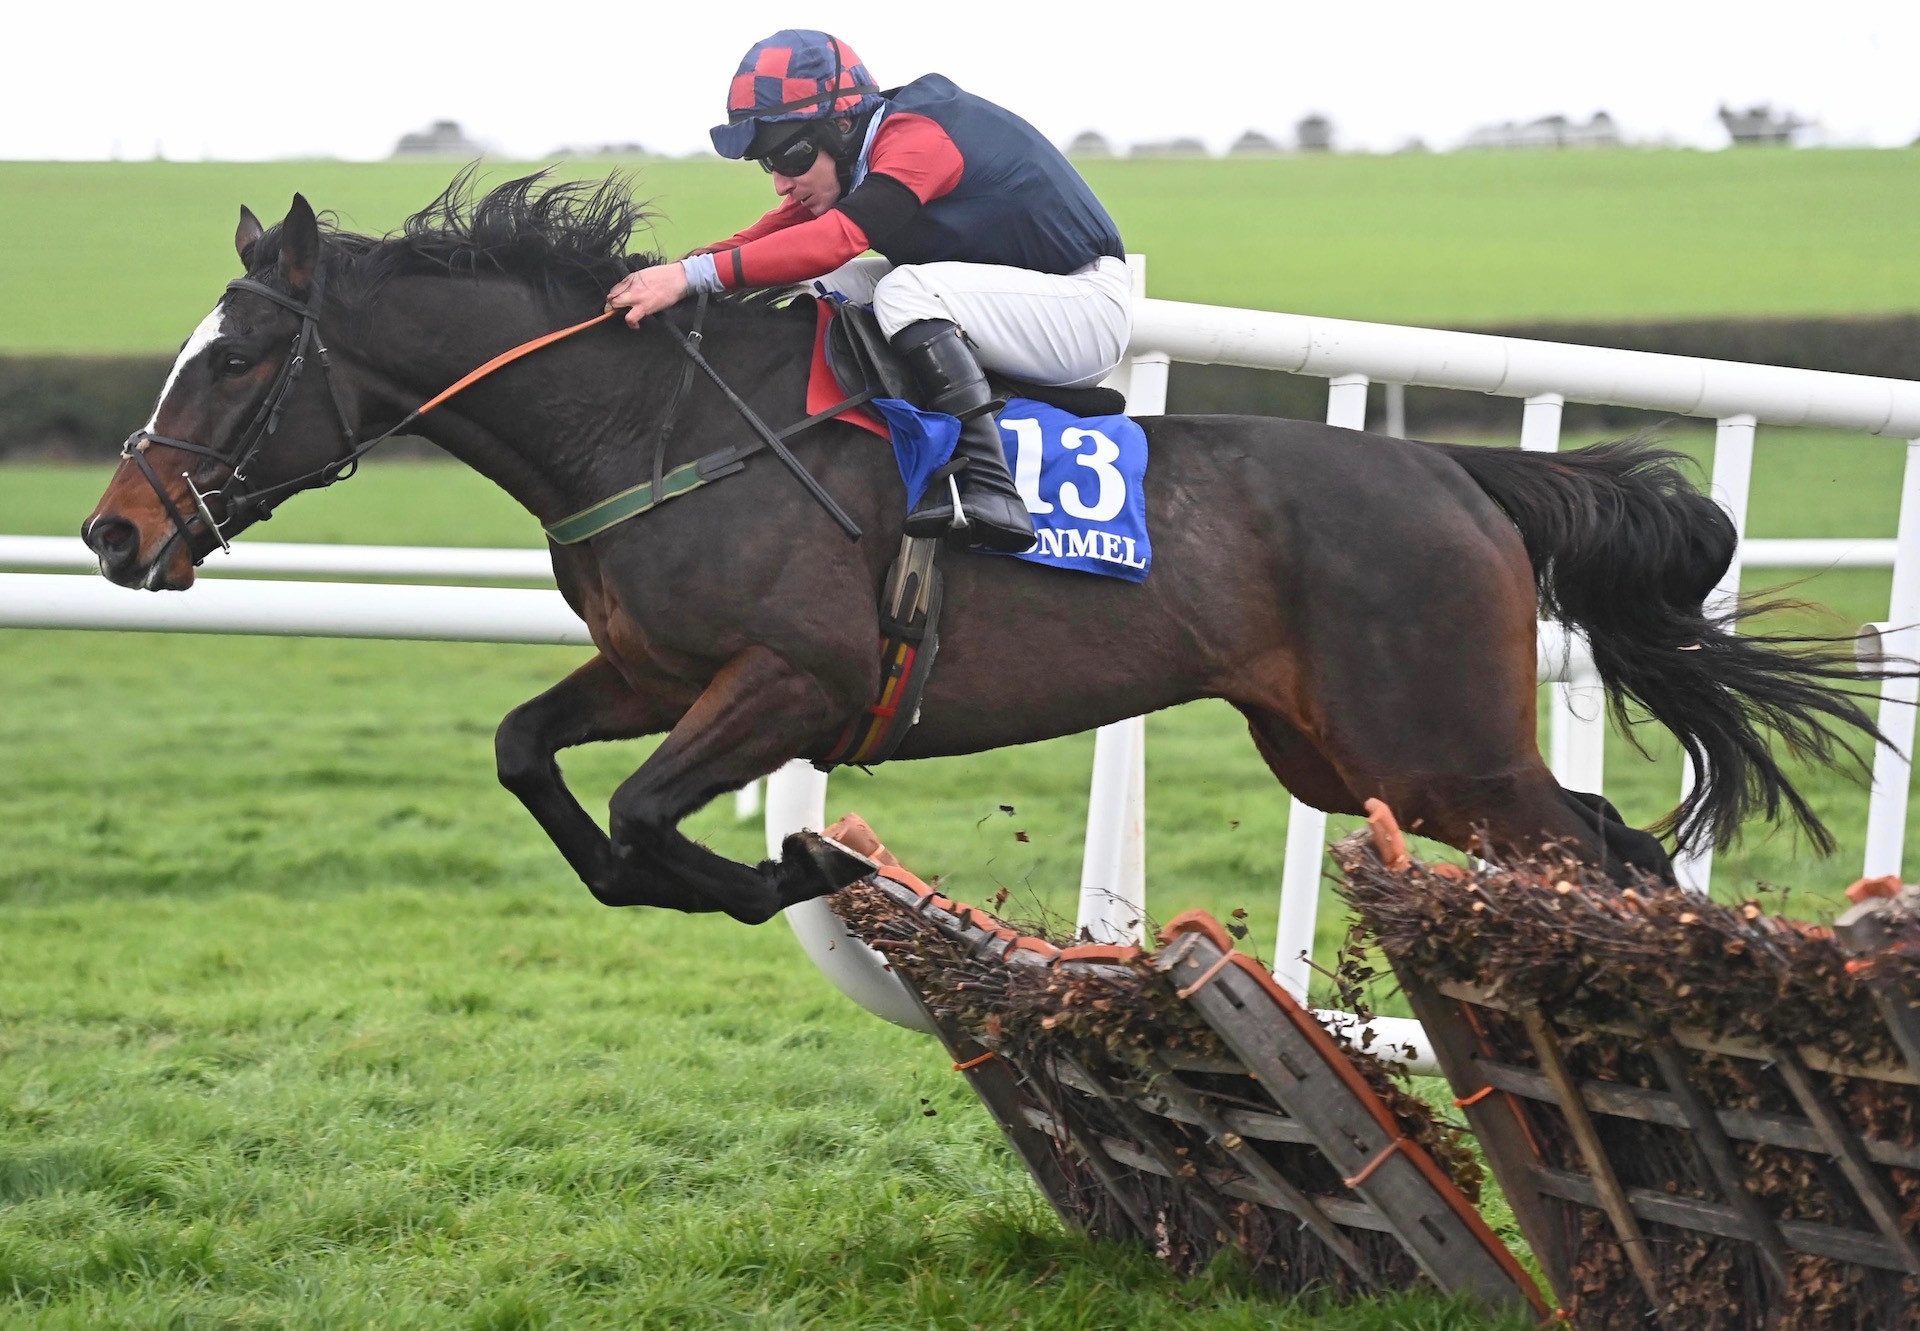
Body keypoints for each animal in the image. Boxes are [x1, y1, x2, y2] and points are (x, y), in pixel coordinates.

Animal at [78, 170, 1889, 918]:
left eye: (235, 358)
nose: (109, 528)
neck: (650, 425)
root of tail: (1458, 479)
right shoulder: (657, 669)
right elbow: (538, 759)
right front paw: (747, 876)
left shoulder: (794, 678)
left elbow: (654, 808)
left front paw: (789, 870)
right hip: (1334, 749)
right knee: (1613, 841)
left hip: (1431, 744)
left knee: (1602, 852)